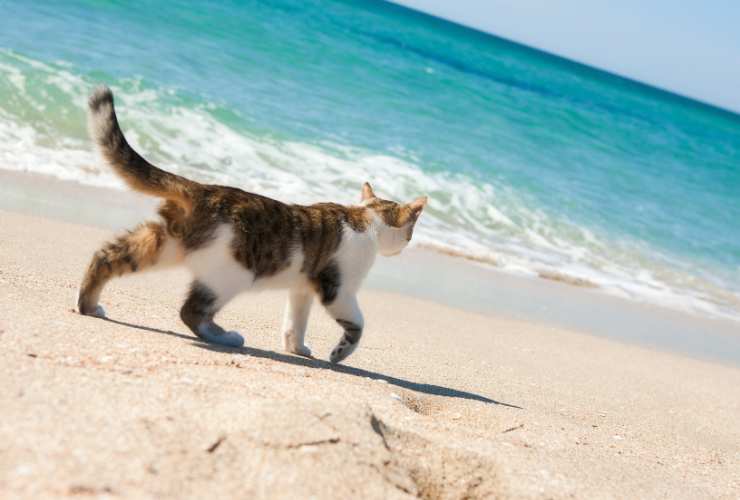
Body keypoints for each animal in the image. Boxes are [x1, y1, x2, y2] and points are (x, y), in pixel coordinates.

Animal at [76, 87, 428, 364]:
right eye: (410, 234)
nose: (406, 246)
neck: (367, 218)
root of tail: (203, 190)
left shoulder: (303, 287)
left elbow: (295, 322)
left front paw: (297, 348)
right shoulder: (338, 290)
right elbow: (357, 325)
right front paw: (339, 354)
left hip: (164, 244)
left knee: (106, 257)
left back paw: (88, 306)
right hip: (232, 274)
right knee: (191, 311)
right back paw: (226, 337)